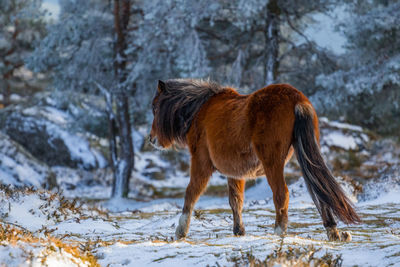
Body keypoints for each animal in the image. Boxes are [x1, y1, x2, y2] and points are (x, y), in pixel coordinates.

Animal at [148, 78, 360, 242]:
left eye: (155, 107)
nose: (151, 139)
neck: (199, 111)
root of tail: (297, 100)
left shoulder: (201, 163)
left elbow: (191, 194)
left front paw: (180, 232)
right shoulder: (234, 172)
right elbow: (236, 201)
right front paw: (239, 231)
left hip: (272, 162)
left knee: (282, 194)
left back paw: (278, 232)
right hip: (305, 156)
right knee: (319, 190)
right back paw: (333, 232)